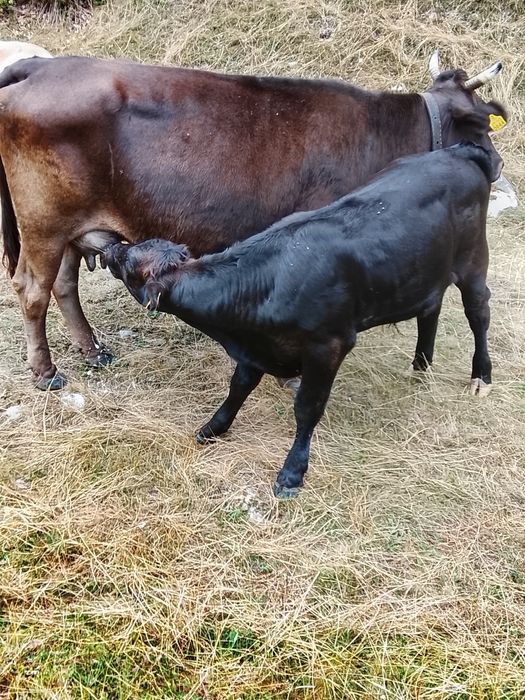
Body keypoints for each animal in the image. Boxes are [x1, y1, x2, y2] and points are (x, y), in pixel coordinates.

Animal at [0, 51, 506, 390]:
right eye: (482, 124)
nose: (498, 165)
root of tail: (41, 66)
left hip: (73, 228)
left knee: (64, 286)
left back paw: (92, 350)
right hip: (43, 224)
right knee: (32, 290)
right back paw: (46, 372)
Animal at [104, 142, 494, 498]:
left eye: (128, 262)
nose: (110, 247)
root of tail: (458, 151)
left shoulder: (328, 345)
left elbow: (307, 407)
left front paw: (292, 472)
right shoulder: (256, 344)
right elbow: (238, 387)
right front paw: (213, 428)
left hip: (474, 261)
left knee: (478, 313)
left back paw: (481, 376)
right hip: (425, 270)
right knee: (431, 308)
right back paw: (422, 363)